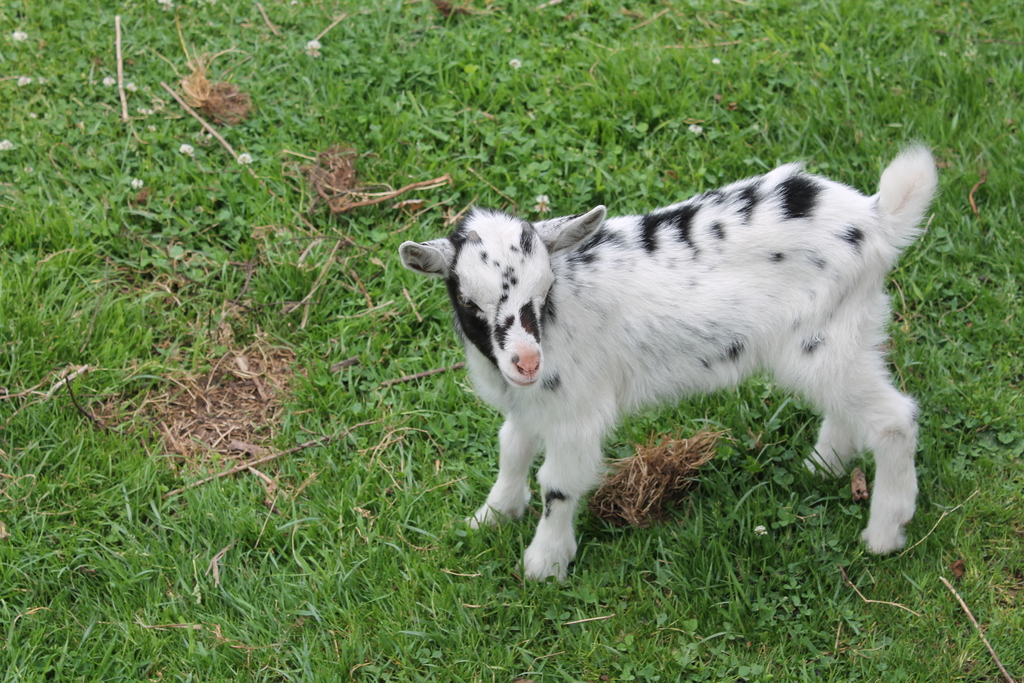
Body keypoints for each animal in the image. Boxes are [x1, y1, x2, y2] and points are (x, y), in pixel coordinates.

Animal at [397, 145, 937, 581]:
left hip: (824, 344)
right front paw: (491, 515)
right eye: (469, 303)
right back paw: (824, 465)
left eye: (544, 289)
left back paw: (885, 533)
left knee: (894, 419)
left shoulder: (577, 412)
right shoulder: (529, 404)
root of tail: (878, 217)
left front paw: (545, 564)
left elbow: (557, 485)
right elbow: (510, 447)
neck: (557, 317)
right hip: (842, 336)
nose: (527, 362)